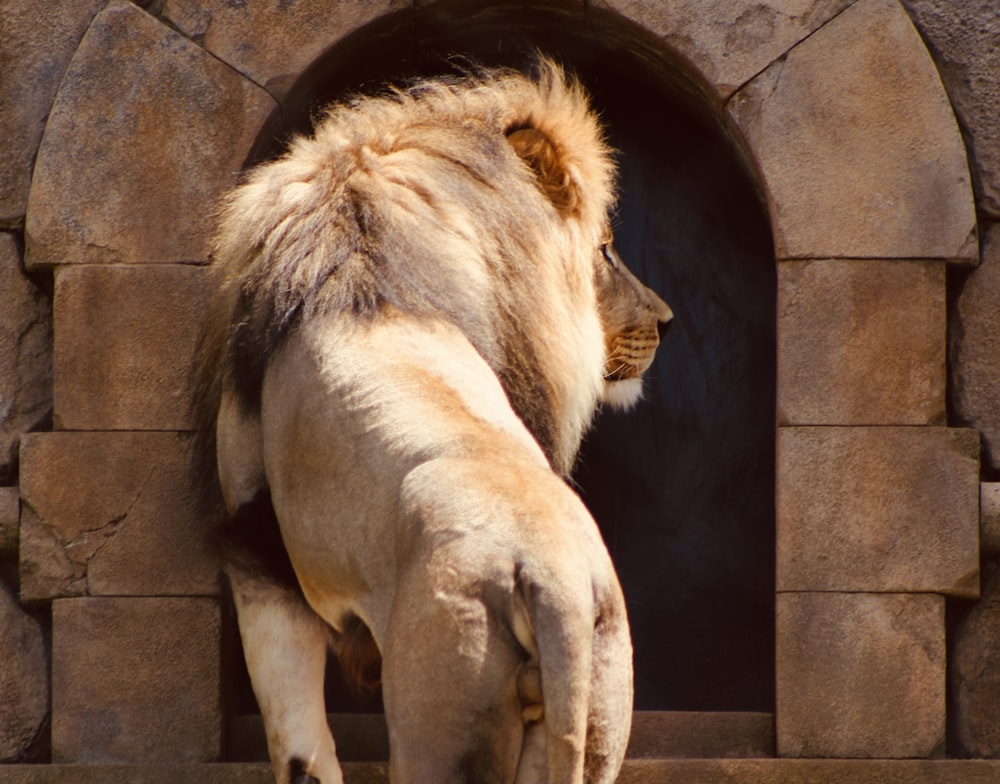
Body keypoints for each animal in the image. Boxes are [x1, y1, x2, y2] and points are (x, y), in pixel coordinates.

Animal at [195, 58, 672, 780]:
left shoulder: (259, 556)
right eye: (607, 249)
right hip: (595, 699)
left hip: (440, 711)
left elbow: (298, 742)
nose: (666, 320)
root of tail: (554, 582)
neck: (363, 269)